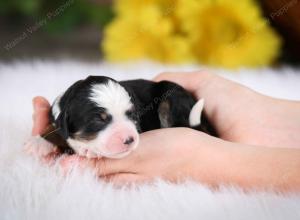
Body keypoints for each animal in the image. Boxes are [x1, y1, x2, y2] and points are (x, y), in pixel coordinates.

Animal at [24, 75, 214, 158]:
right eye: (98, 120)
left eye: (132, 115)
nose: (129, 139)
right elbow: (53, 128)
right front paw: (38, 143)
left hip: (171, 95)